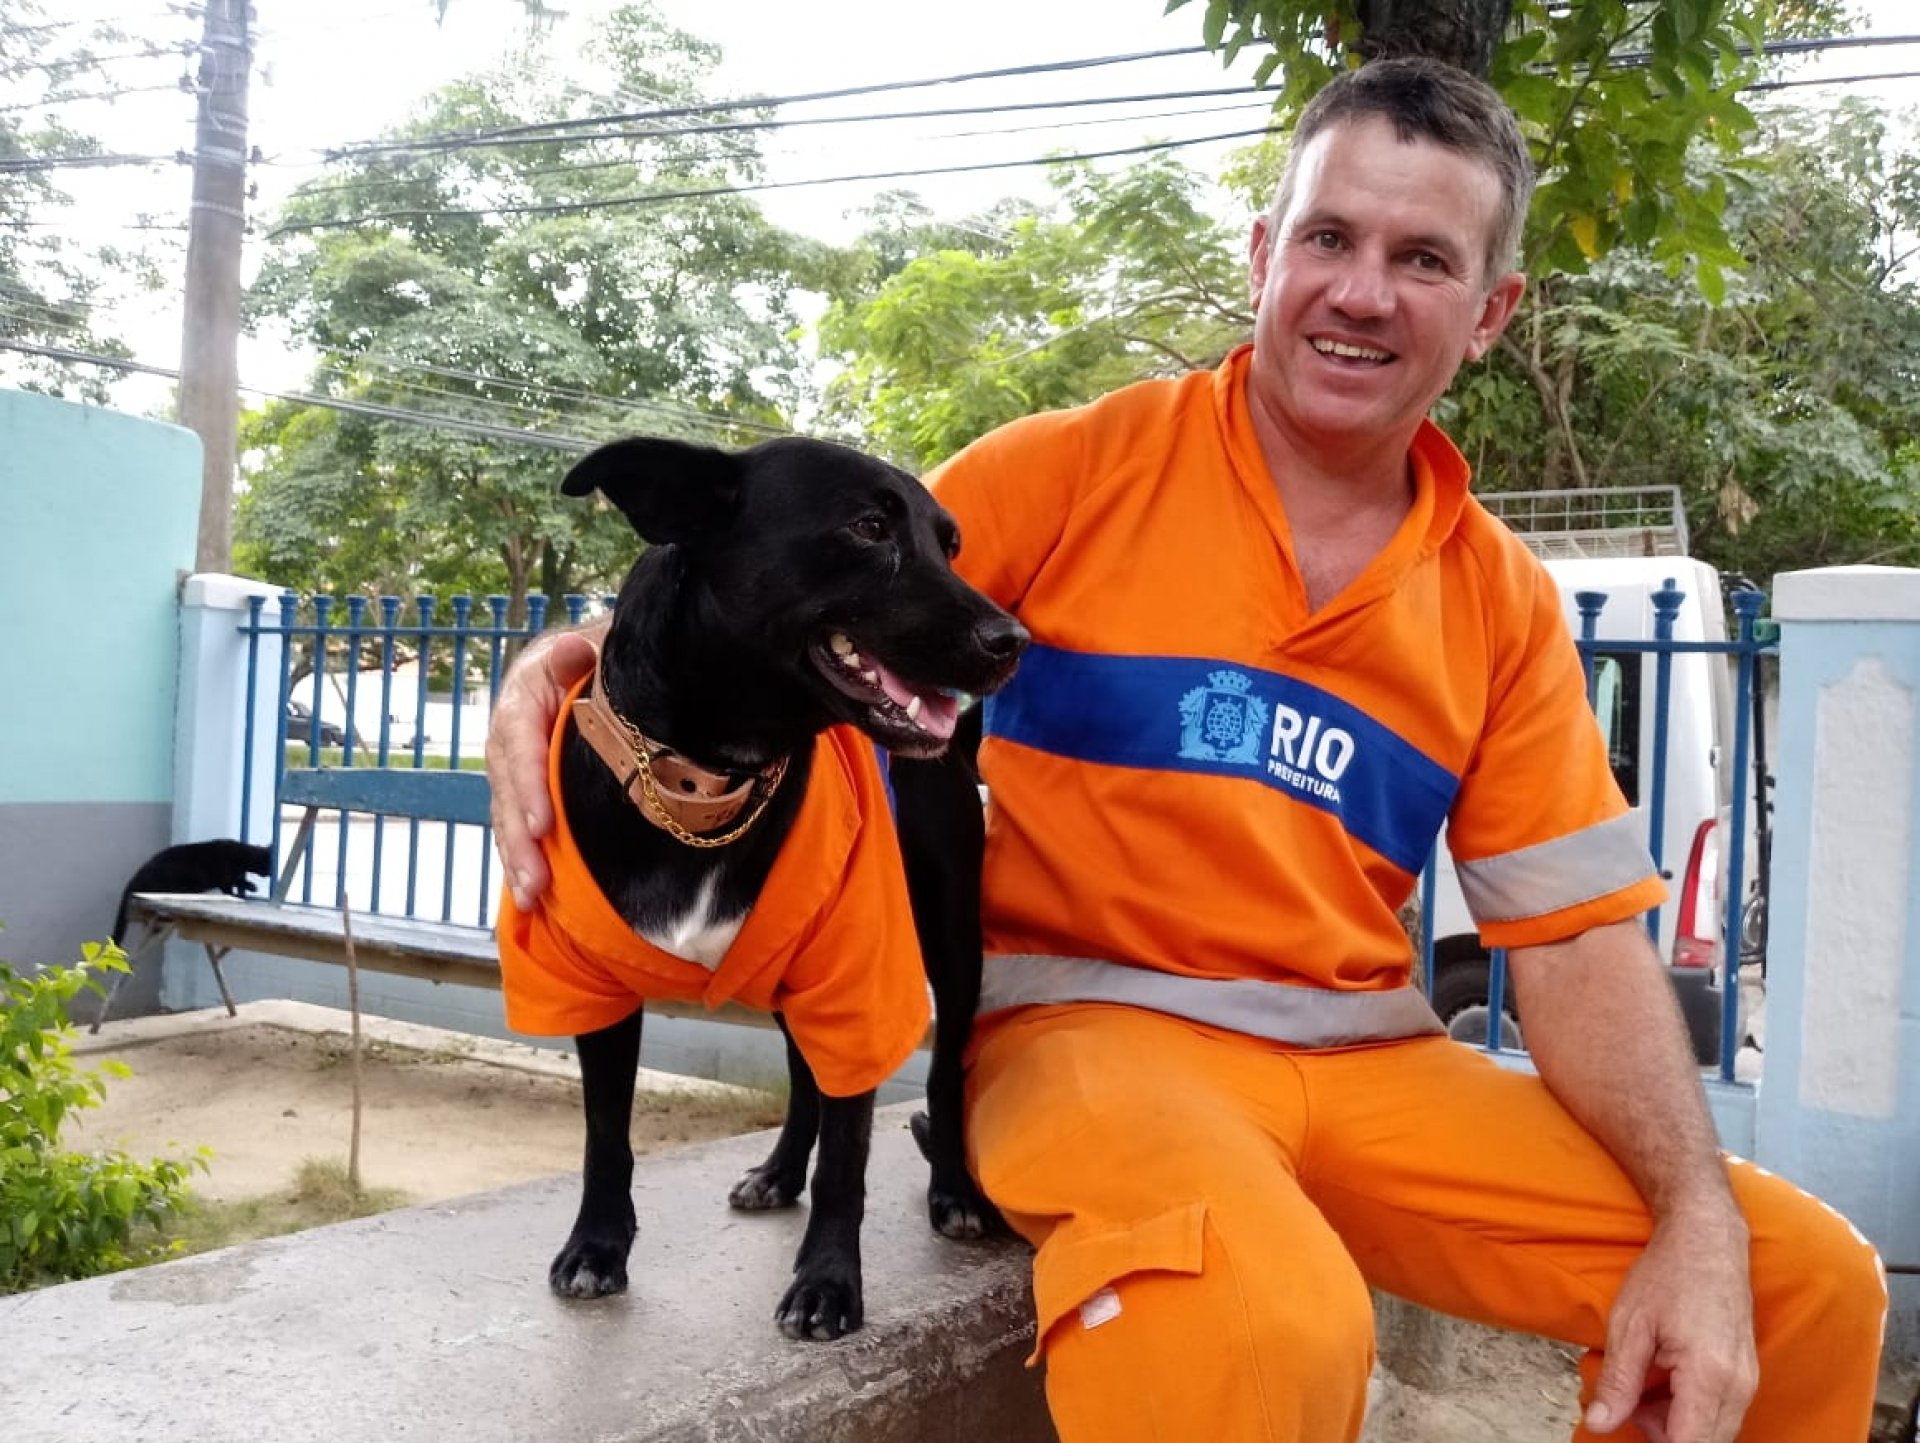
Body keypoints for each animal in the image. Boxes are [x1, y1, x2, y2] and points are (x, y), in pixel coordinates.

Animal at [110, 839, 274, 947]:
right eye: (268, 865)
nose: (270, 874)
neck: (242, 856)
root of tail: (136, 876)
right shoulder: (224, 877)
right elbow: (229, 888)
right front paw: (238, 895)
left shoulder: (234, 876)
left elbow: (240, 881)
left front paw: (252, 887)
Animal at [497, 433, 1026, 1341]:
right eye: (867, 526)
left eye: (949, 544)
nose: (1012, 638)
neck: (709, 776)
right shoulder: (597, 990)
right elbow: (605, 1131)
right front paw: (597, 1245)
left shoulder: (856, 981)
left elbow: (850, 1151)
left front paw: (827, 1282)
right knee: (806, 1076)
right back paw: (780, 1172)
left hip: (950, 949)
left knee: (945, 1072)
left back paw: (954, 1189)